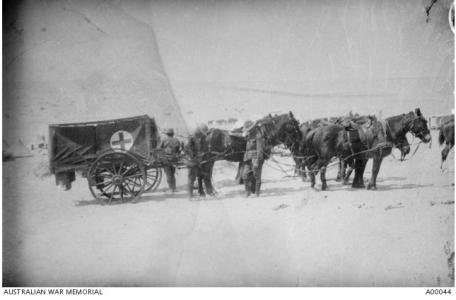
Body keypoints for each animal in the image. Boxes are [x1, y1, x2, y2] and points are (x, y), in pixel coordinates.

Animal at [302, 108, 432, 190]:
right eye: (423, 122)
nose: (428, 138)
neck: (383, 132)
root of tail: (316, 130)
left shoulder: (363, 157)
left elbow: (360, 170)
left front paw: (358, 184)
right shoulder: (377, 155)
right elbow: (374, 170)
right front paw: (371, 185)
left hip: (322, 157)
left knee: (316, 168)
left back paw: (320, 185)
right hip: (325, 157)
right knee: (314, 168)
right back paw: (317, 185)